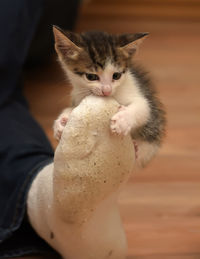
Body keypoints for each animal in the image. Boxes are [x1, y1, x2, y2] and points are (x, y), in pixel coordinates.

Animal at [52, 26, 166, 169]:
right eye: (91, 76)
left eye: (116, 75)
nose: (107, 90)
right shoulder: (77, 95)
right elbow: (73, 109)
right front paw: (61, 122)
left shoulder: (139, 94)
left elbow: (143, 108)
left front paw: (123, 120)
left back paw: (136, 149)